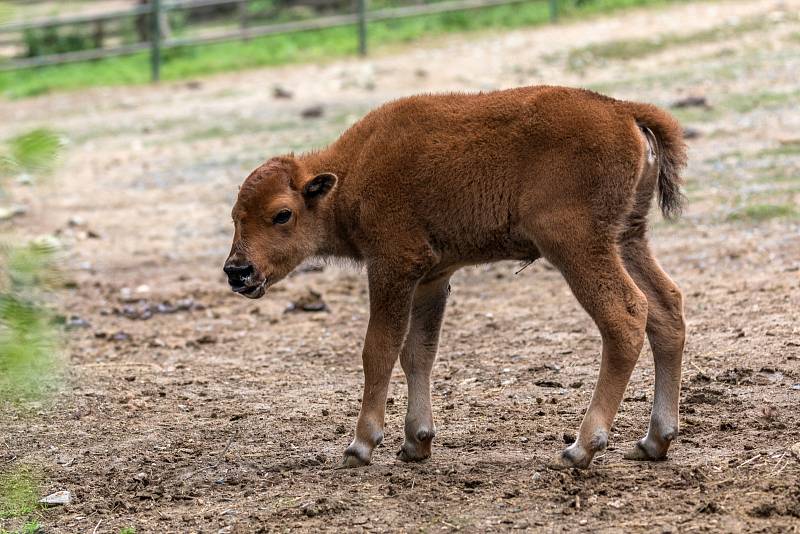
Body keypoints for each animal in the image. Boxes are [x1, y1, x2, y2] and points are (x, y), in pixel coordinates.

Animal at [225, 86, 688, 472]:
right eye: (235, 217)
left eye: (282, 214)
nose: (237, 271)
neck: (351, 172)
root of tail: (623, 110)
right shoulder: (433, 277)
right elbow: (418, 353)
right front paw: (416, 442)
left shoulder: (392, 267)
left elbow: (380, 349)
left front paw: (360, 445)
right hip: (628, 238)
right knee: (667, 309)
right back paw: (653, 442)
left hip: (577, 246)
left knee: (626, 316)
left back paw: (580, 448)